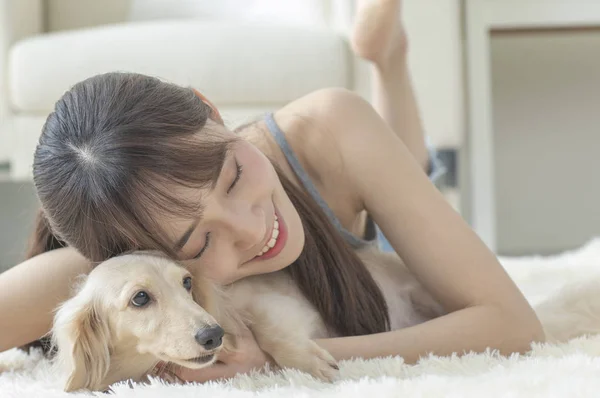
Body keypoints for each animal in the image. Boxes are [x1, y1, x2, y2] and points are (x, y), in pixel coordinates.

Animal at [52, 249, 446, 392]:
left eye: (187, 282)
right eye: (140, 298)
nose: (213, 334)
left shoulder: (264, 303)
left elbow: (270, 330)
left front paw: (309, 363)